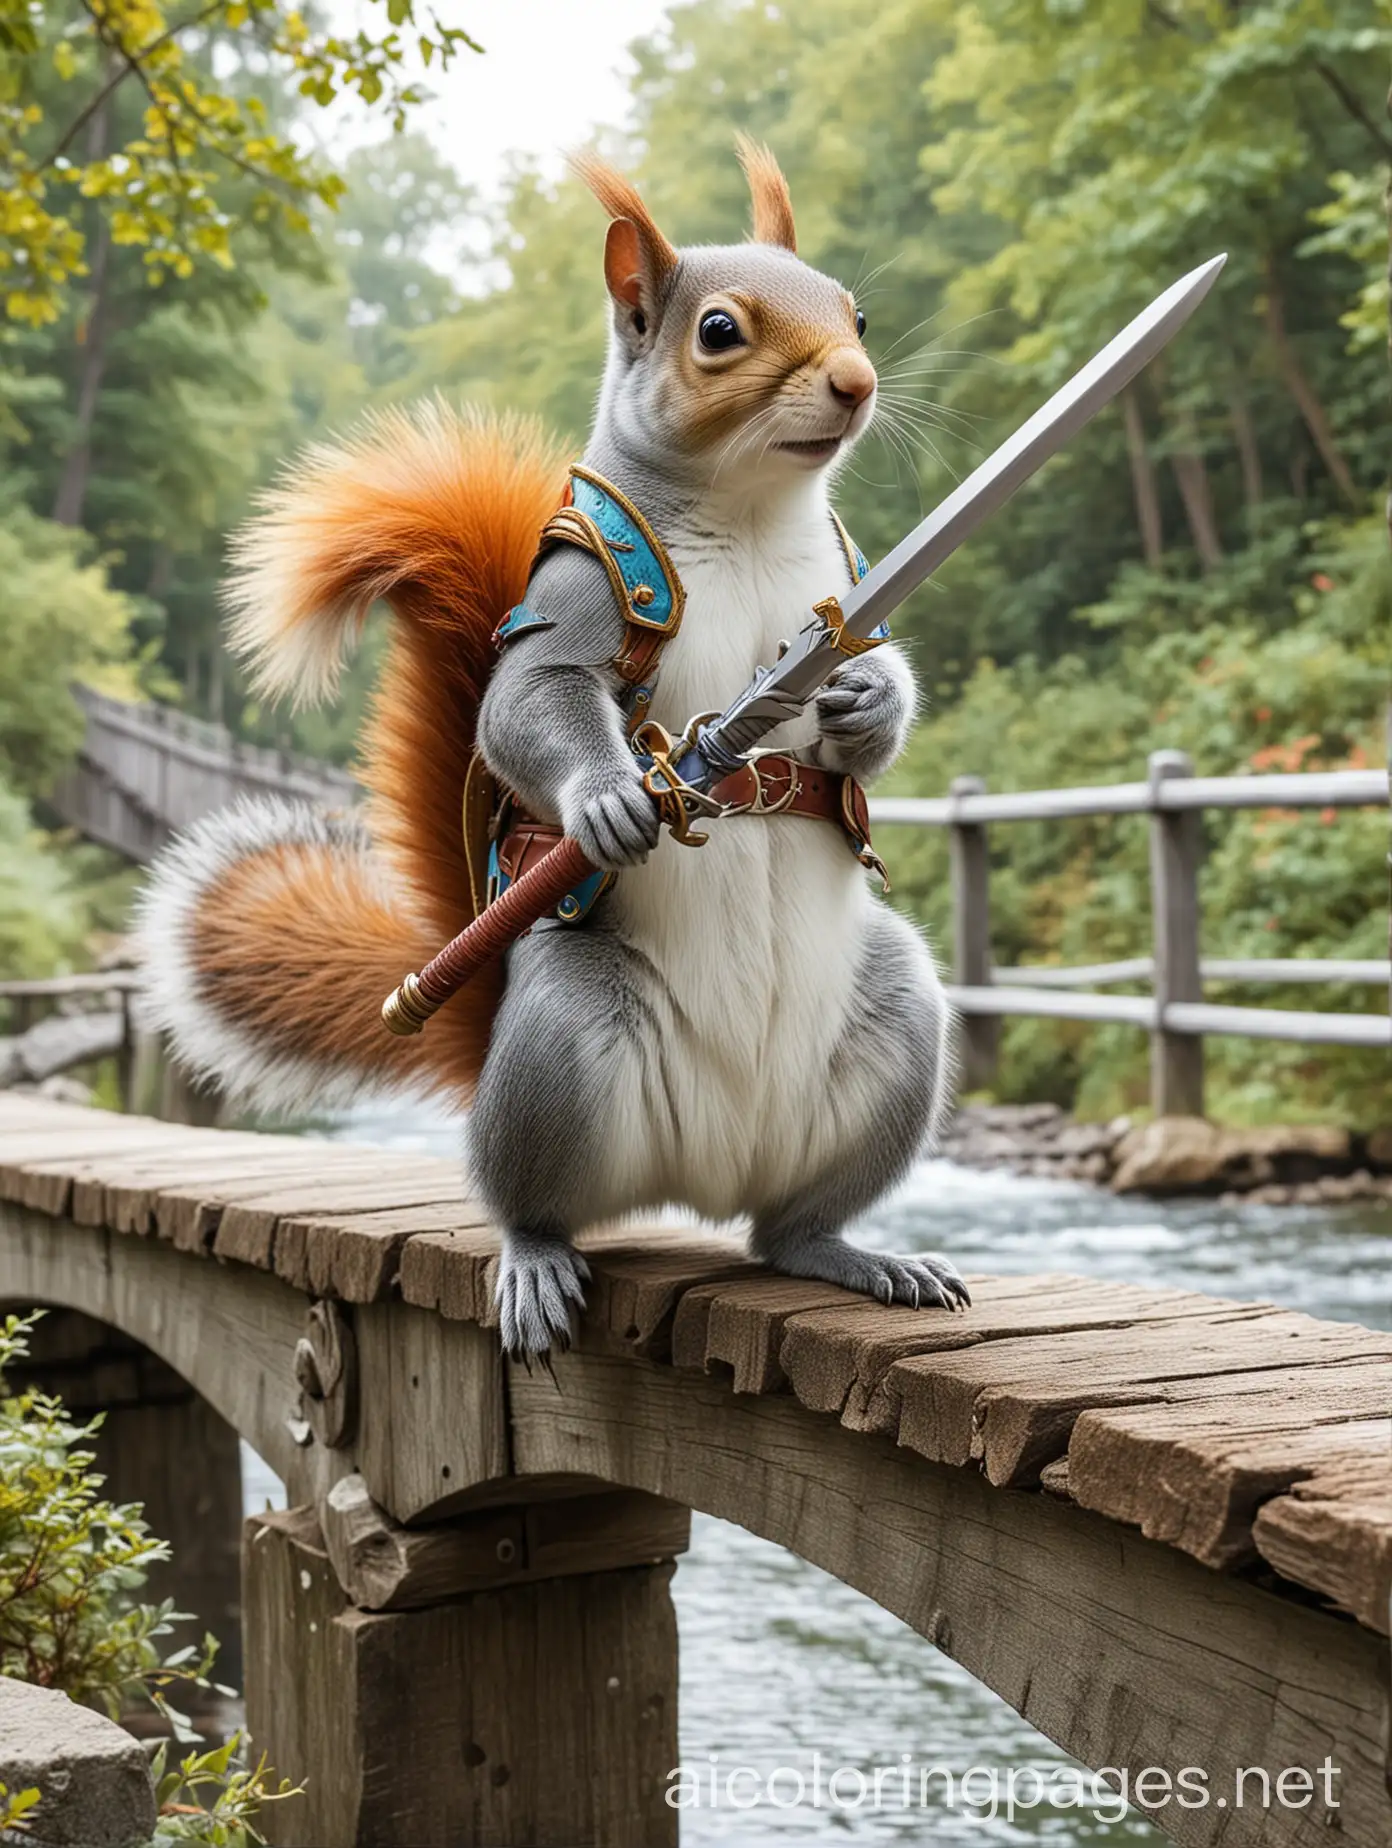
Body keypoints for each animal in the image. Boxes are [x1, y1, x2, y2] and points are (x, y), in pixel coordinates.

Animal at [135, 140, 961, 1360]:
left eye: (855, 311)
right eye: (720, 330)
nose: (857, 383)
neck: (754, 515)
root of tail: (705, 1178)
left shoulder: (851, 589)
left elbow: (889, 682)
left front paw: (861, 701)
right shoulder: (577, 589)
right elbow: (530, 701)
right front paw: (612, 797)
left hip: (897, 1022)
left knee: (785, 1230)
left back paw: (853, 1254)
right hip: (567, 1036)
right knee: (529, 1196)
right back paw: (534, 1258)